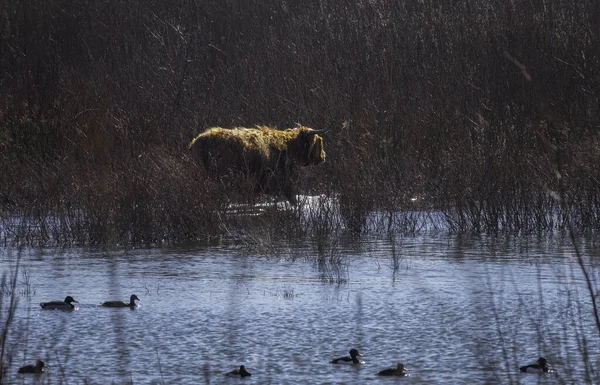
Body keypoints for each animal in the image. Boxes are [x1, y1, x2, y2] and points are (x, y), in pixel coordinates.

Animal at [188, 125, 328, 204]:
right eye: (319, 140)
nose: (324, 156)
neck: (290, 146)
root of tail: (199, 141)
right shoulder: (281, 182)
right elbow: (292, 199)